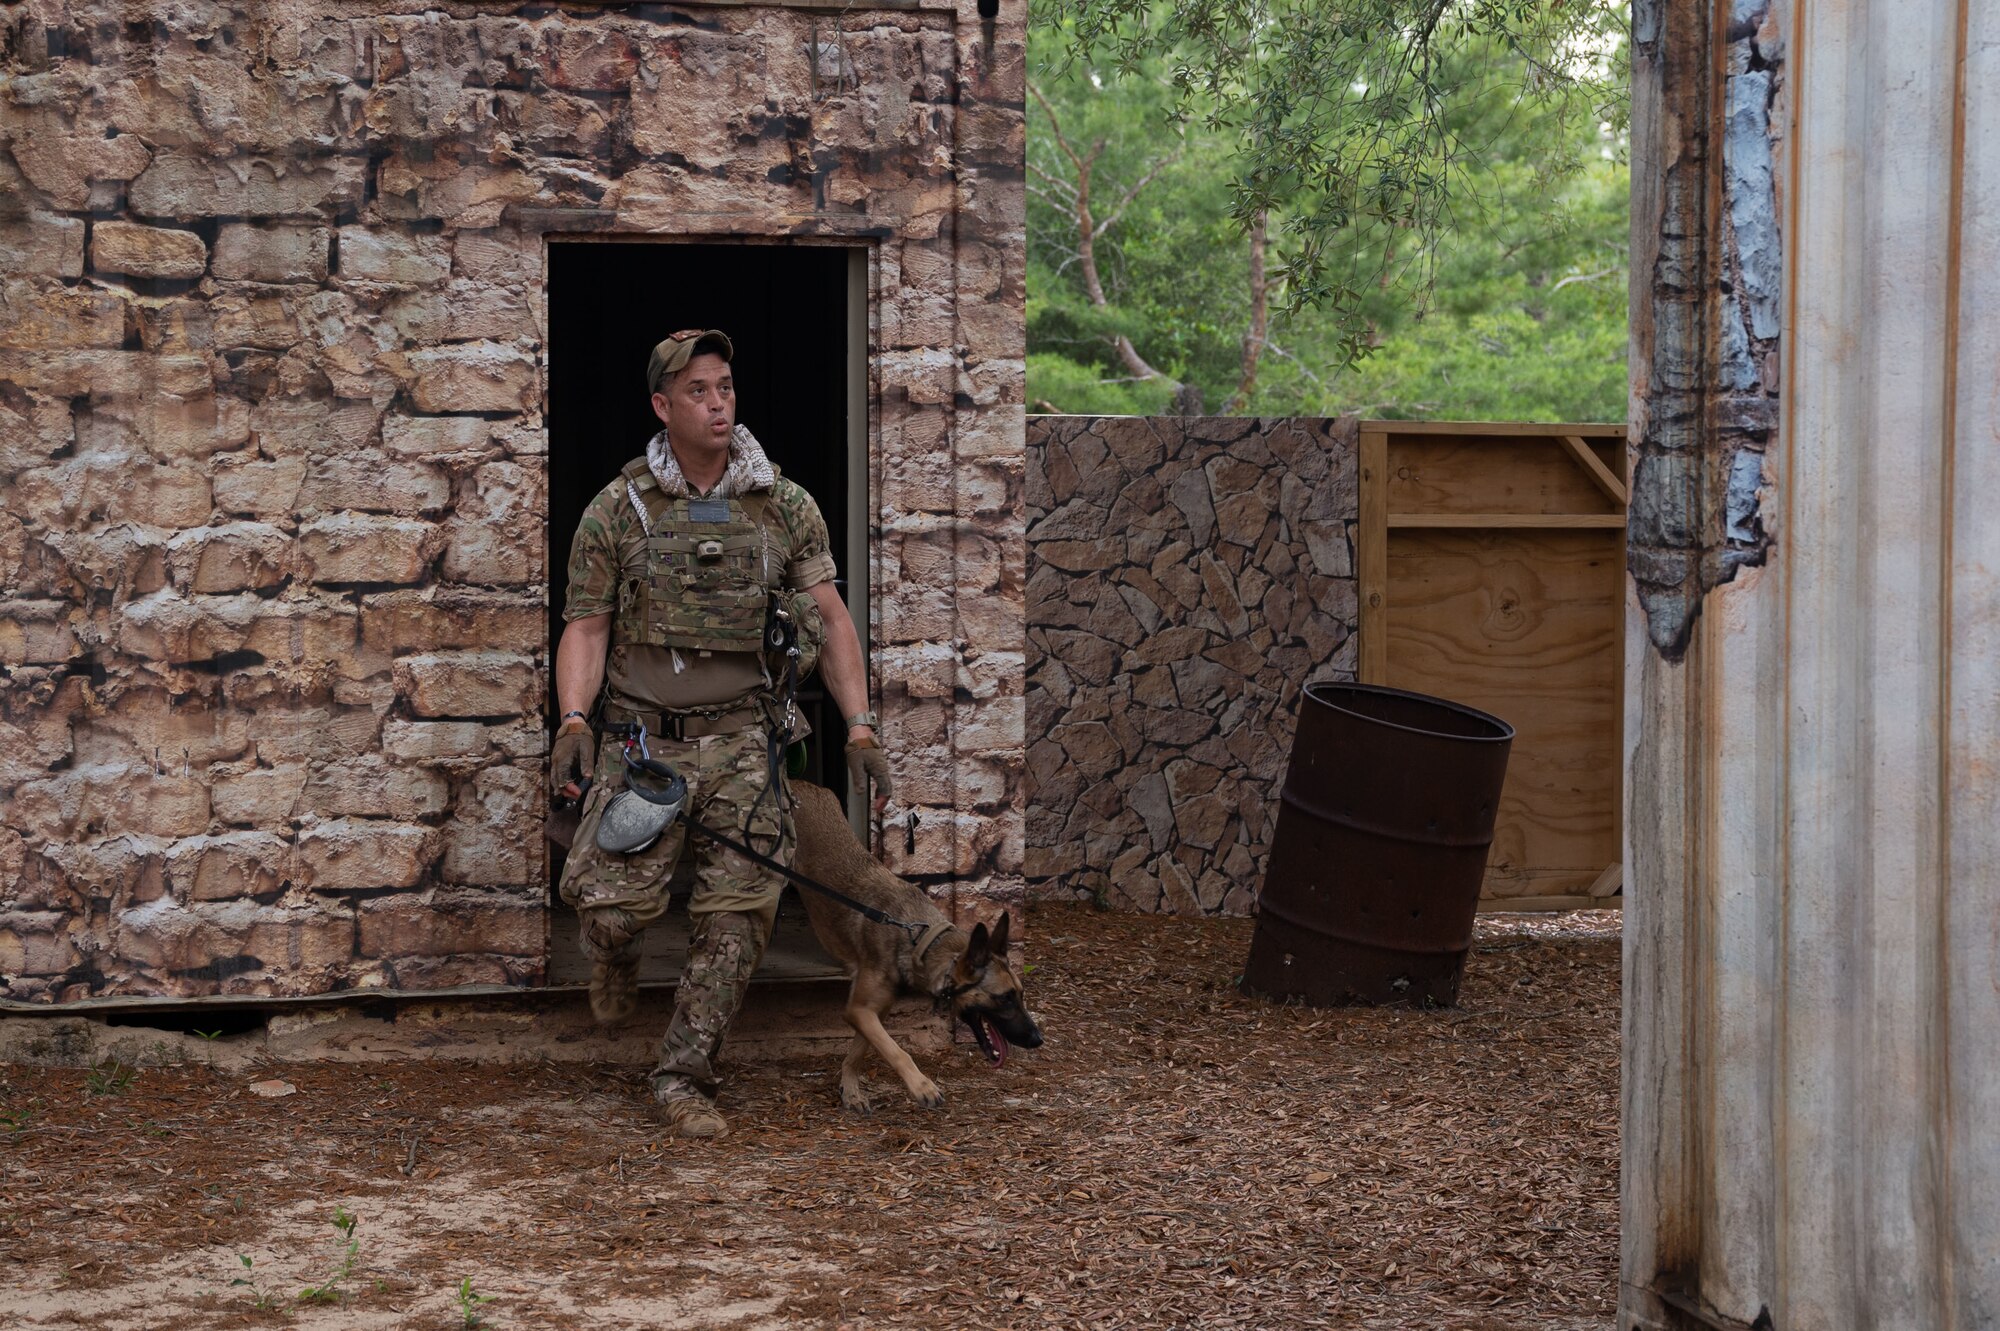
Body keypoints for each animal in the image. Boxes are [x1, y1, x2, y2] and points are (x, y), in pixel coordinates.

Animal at [788, 779, 1048, 1111]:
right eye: (1003, 998)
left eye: (1021, 995)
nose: (1037, 1040)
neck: (919, 939)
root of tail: (796, 782)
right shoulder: (860, 1011)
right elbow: (897, 1050)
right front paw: (922, 1086)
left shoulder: (872, 1010)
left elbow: (860, 1052)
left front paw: (851, 1089)